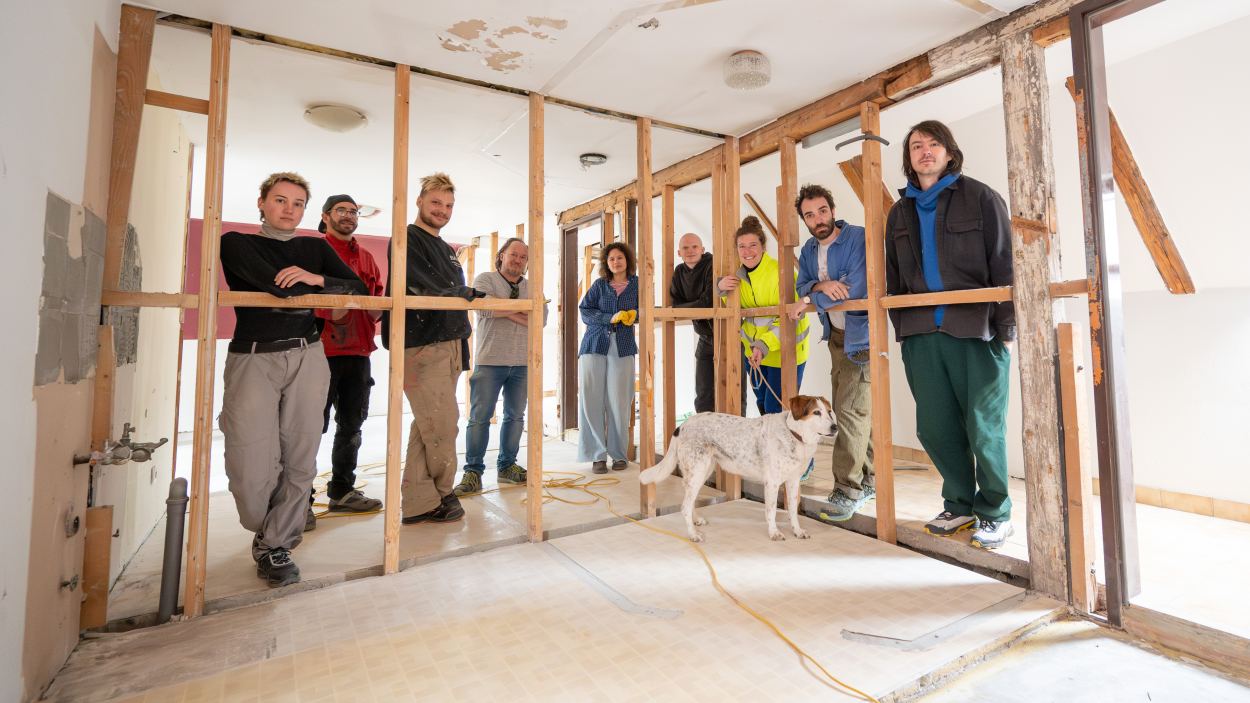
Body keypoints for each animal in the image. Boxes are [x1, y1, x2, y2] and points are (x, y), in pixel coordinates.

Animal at [640, 395, 835, 542]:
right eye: (816, 412)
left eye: (829, 412)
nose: (835, 427)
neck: (794, 435)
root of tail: (682, 426)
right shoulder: (772, 483)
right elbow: (771, 511)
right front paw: (774, 533)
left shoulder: (793, 482)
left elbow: (793, 510)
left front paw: (797, 531)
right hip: (698, 472)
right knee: (684, 507)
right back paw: (693, 535)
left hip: (702, 472)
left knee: (690, 501)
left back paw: (696, 522)